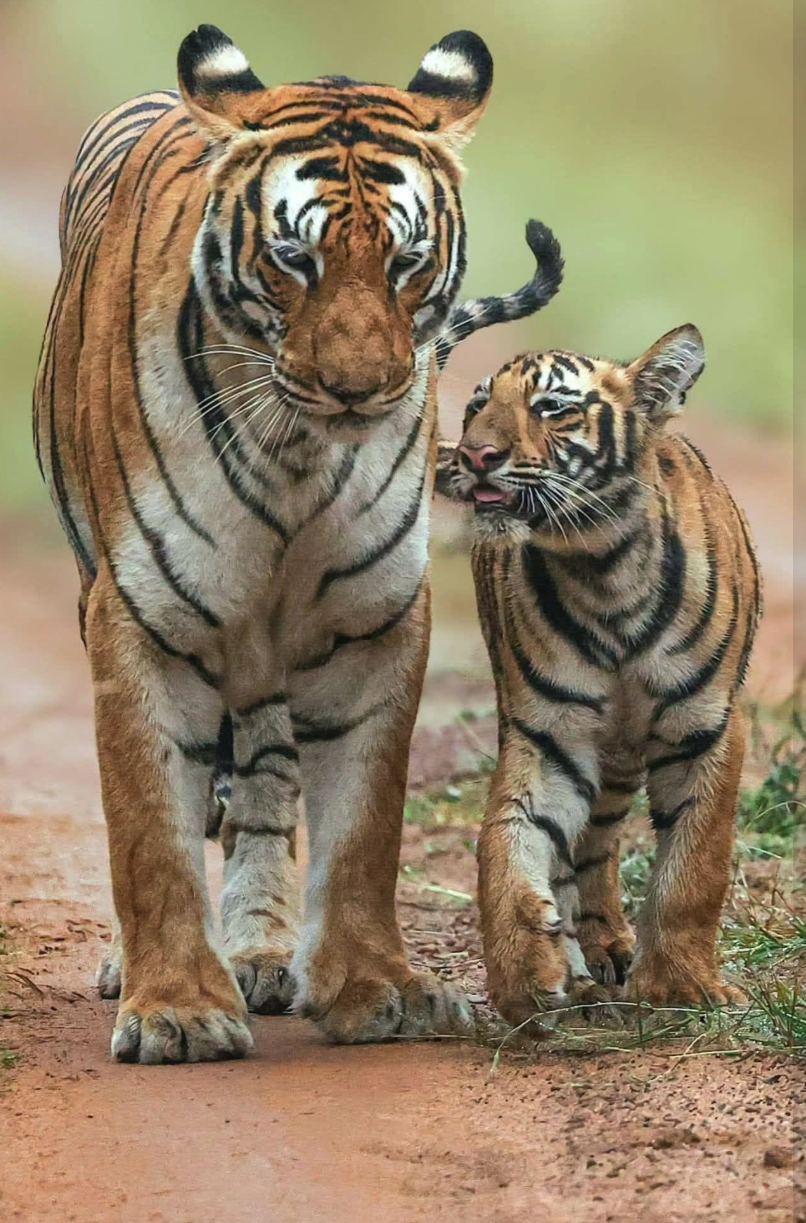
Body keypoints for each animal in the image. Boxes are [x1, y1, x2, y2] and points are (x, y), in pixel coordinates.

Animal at [33, 24, 559, 1063]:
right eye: (294, 259)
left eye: (406, 261)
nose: (360, 389)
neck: (298, 456)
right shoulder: (141, 613)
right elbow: (148, 822)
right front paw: (175, 1009)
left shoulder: (371, 618)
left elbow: (362, 825)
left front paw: (376, 989)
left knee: (269, 785)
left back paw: (262, 953)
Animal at [436, 266, 762, 1027]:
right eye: (476, 405)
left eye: (552, 407)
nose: (474, 455)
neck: (601, 567)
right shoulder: (548, 735)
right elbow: (508, 843)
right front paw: (527, 975)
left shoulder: (707, 726)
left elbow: (693, 866)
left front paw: (682, 987)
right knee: (585, 846)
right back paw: (586, 964)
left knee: (603, 841)